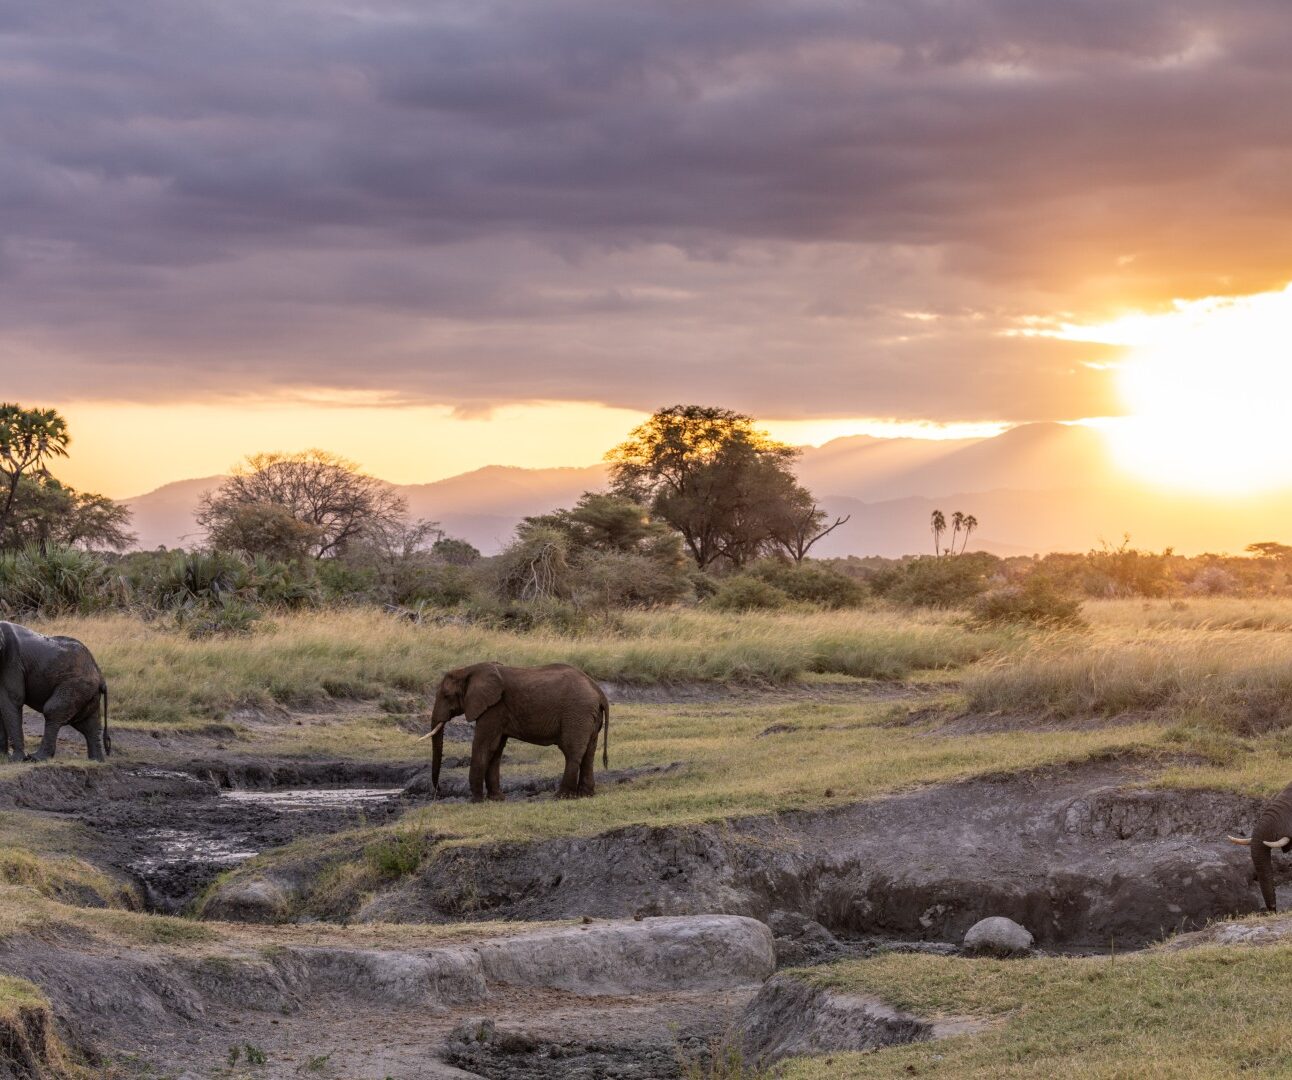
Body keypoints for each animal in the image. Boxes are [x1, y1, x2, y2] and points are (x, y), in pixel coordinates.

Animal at [0, 621, 111, 763]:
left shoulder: (11, 662)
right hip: (88, 692)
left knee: (52, 711)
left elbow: (12, 700)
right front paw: (2, 757)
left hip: (76, 685)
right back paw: (96, 761)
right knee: (87, 724)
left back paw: (36, 758)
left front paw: (15, 760)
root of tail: (100, 676)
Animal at [422, 662, 608, 801]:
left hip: (577, 712)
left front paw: (475, 801)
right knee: (589, 752)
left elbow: (483, 746)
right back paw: (585, 795)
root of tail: (598, 690)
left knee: (572, 752)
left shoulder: (494, 708)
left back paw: (561, 797)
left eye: (446, 695)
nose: (438, 791)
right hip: (588, 715)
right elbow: (495, 749)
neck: (469, 670)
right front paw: (496, 799)